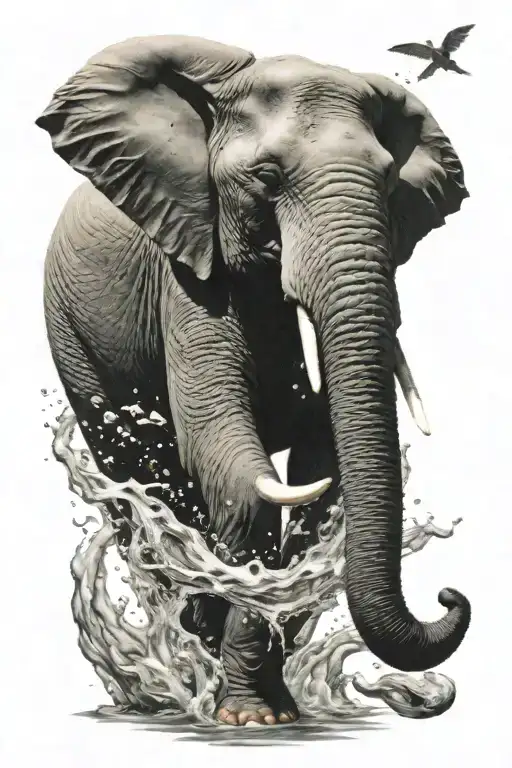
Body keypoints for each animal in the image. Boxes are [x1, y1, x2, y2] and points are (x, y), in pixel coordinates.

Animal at [36, 34, 471, 726]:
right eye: (266, 178)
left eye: (386, 180)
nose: (449, 596)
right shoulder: (186, 266)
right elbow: (235, 467)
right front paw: (249, 719)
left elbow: (321, 463)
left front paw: (271, 706)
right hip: (70, 333)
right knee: (142, 476)